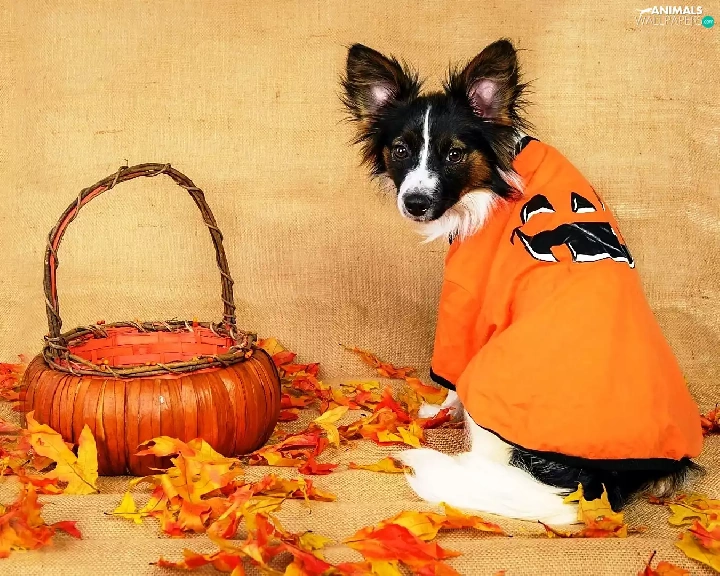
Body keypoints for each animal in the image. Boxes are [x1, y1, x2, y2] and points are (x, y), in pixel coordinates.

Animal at [340, 39, 703, 524]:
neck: (494, 180)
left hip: (490, 384)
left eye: (454, 154)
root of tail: (601, 483)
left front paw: (440, 410)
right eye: (400, 150)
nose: (414, 203)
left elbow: (451, 377)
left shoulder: (466, 303)